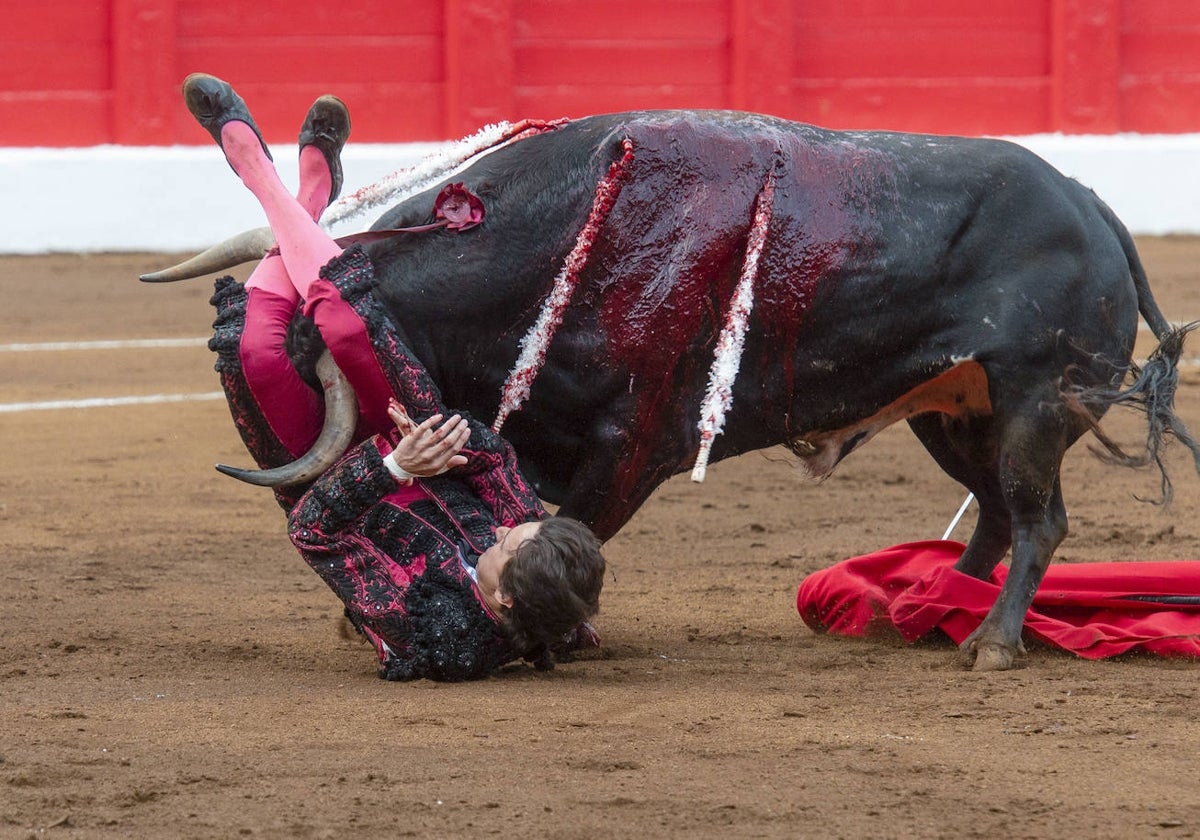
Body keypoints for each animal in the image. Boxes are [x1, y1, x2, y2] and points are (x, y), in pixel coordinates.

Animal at [147, 111, 1200, 672]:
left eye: (296, 358)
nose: (288, 477)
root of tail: (1093, 205)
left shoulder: (632, 448)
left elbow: (579, 521)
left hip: (1033, 403)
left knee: (1037, 518)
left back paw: (990, 641)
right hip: (953, 410)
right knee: (994, 513)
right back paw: (929, 608)